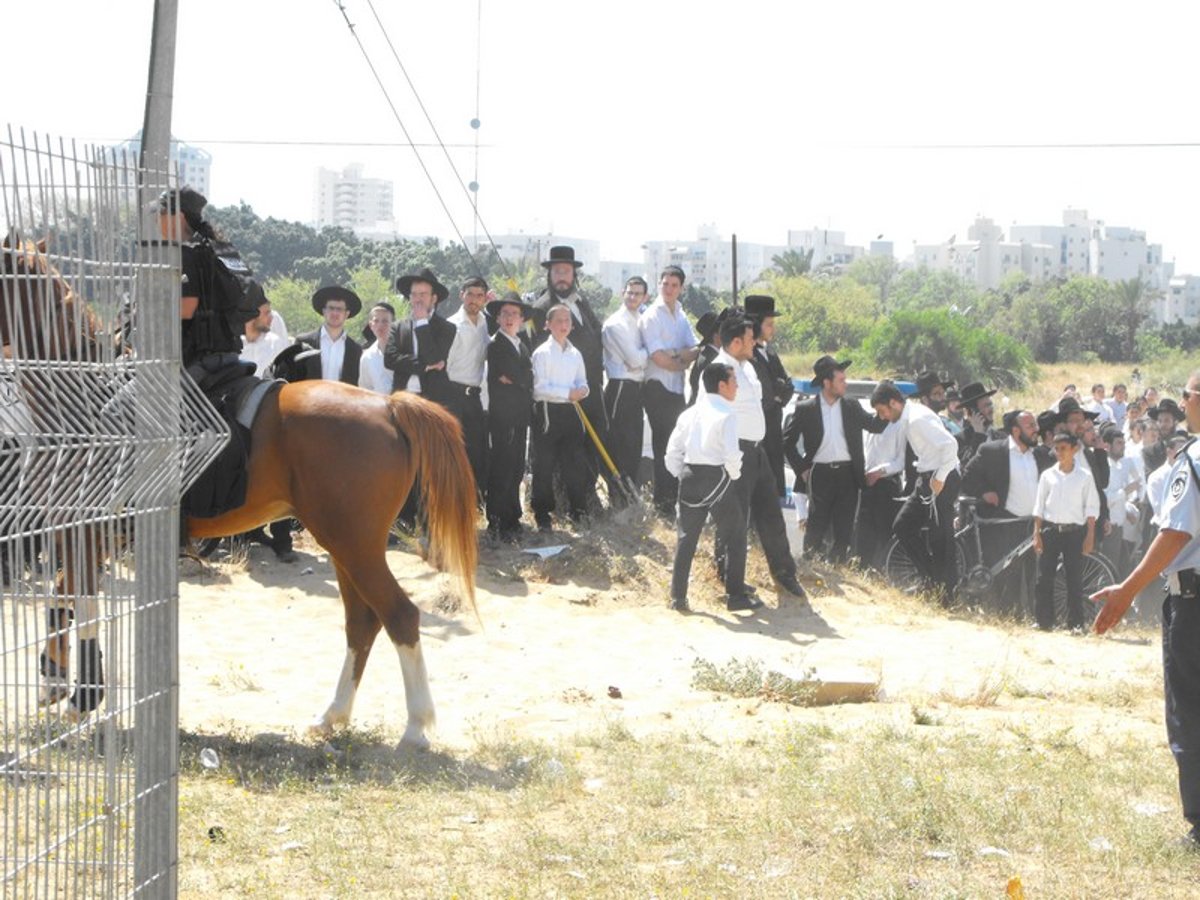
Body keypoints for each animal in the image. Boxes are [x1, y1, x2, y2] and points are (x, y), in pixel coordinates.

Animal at [1, 236, 477, 748]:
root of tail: (388, 405)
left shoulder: (89, 530)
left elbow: (83, 601)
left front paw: (83, 696)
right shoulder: (85, 530)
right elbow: (62, 593)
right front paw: (53, 678)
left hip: (354, 544)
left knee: (399, 616)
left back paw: (416, 728)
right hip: (346, 545)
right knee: (363, 621)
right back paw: (332, 715)